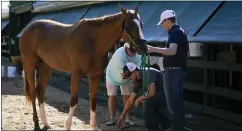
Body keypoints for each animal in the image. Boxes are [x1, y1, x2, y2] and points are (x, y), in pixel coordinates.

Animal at [18, 4, 147, 130]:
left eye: (141, 24)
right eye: (129, 26)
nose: (144, 48)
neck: (92, 42)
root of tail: (27, 29)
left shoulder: (95, 76)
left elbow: (93, 100)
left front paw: (93, 126)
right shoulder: (76, 74)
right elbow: (74, 99)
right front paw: (68, 125)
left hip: (45, 67)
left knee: (40, 90)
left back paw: (45, 123)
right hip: (29, 65)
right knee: (33, 91)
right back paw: (36, 124)